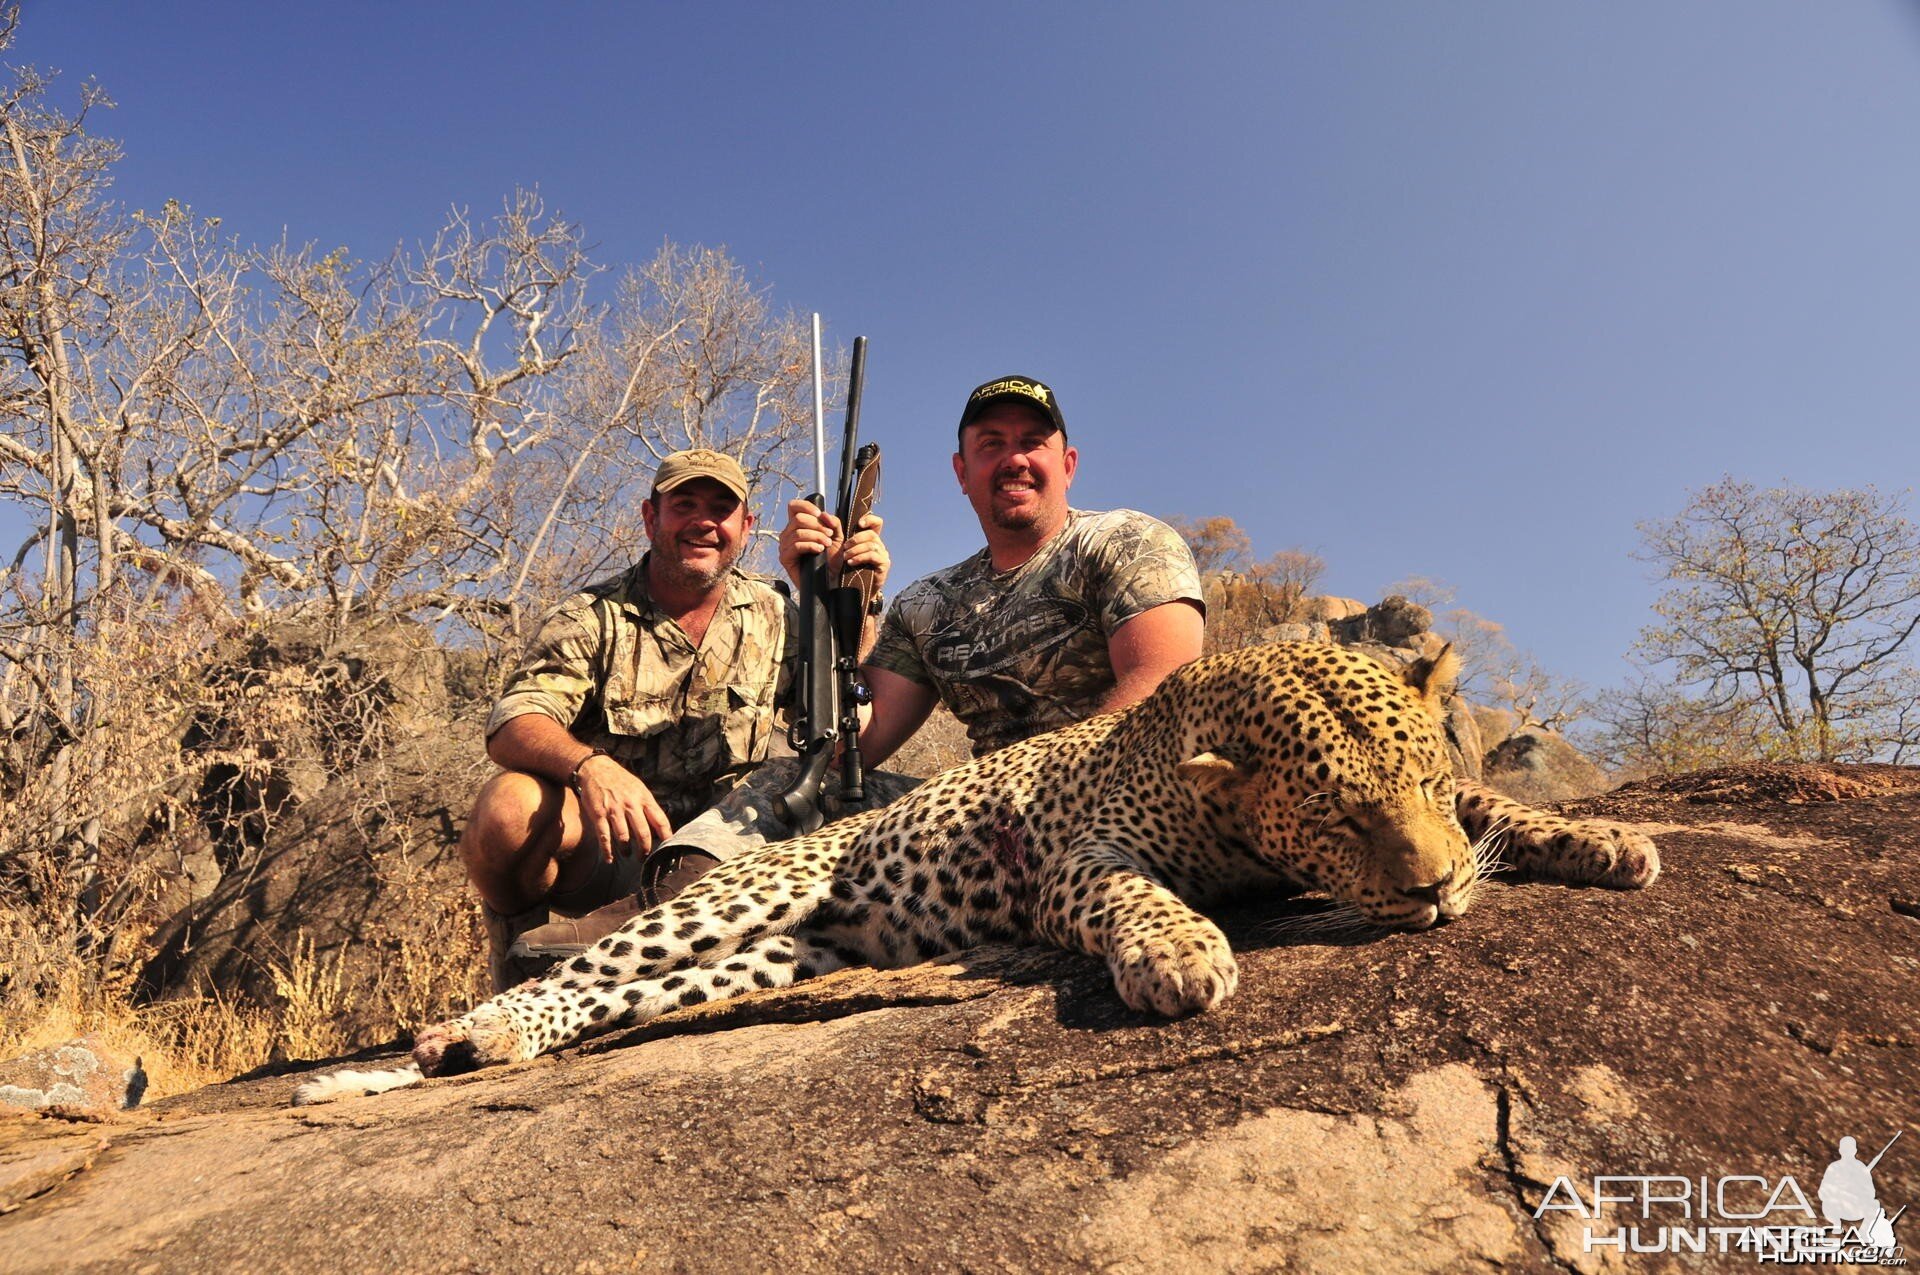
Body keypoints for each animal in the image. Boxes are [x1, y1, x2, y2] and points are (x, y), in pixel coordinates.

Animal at [291, 641, 1658, 1098]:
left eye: (1416, 785)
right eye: (1338, 820)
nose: (1431, 894)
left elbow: (1499, 805)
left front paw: (1603, 842)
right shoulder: (1074, 863)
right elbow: (1130, 894)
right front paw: (1179, 953)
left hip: (776, 957)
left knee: (619, 997)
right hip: (741, 899)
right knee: (580, 969)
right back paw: (460, 1035)